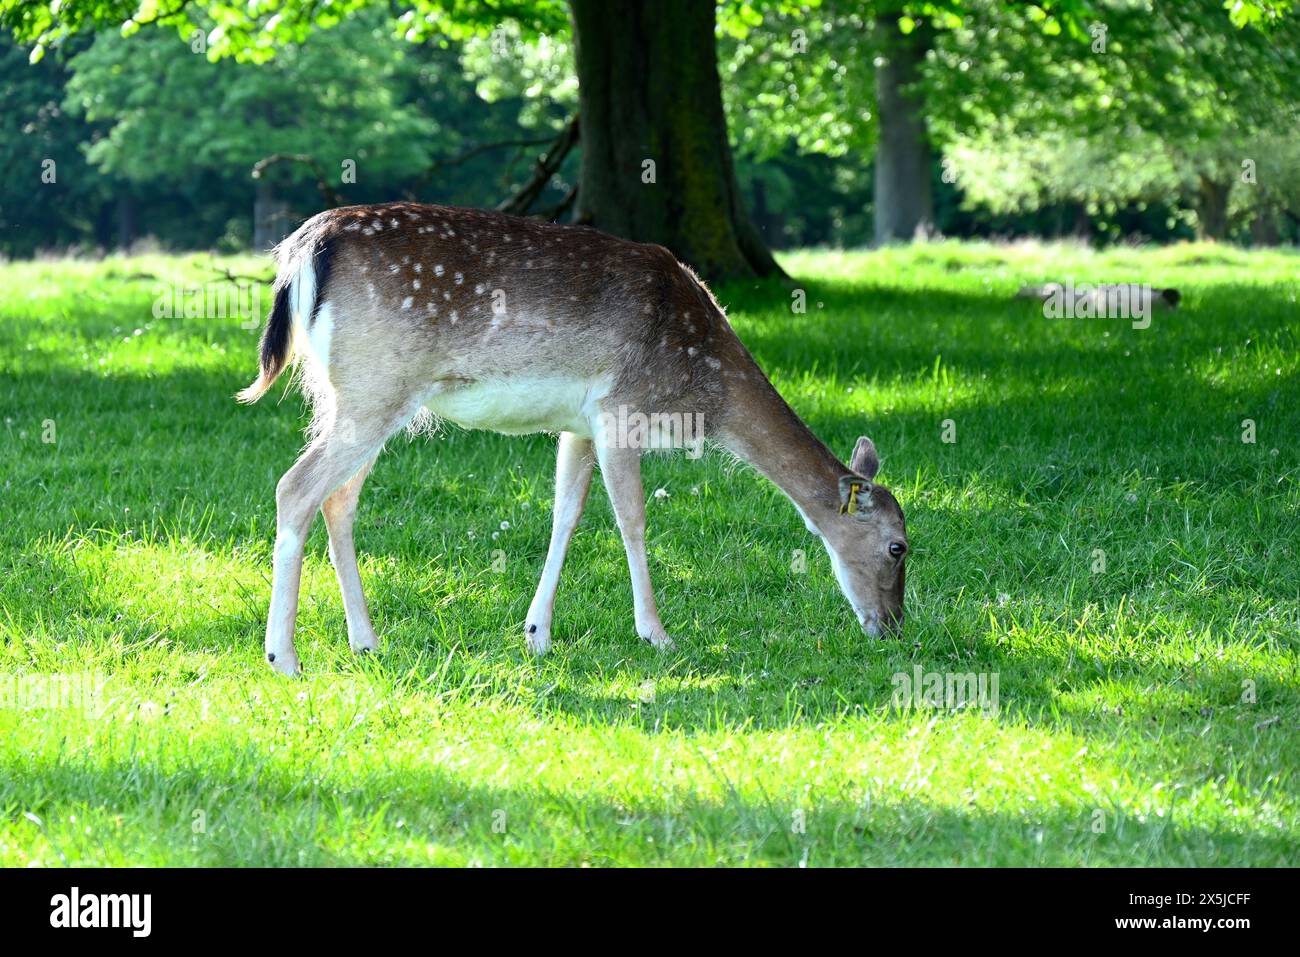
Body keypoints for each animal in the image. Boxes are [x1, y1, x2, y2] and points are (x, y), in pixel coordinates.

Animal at [238, 203, 907, 675]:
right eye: (898, 547)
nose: (894, 626)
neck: (701, 388)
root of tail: (302, 250)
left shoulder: (578, 425)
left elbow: (566, 512)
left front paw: (537, 634)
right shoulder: (619, 411)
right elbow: (632, 518)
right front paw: (656, 633)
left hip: (345, 396)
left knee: (338, 500)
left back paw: (367, 642)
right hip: (374, 386)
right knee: (293, 488)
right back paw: (284, 658)